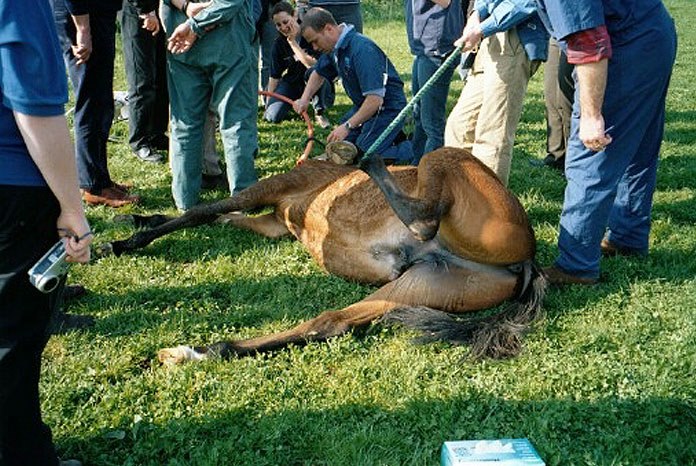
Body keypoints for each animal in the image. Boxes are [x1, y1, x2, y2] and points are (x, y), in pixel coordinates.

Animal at [106, 148, 548, 364]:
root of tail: (527, 261)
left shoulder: (269, 189)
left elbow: (204, 211)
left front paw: (128, 240)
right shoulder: (274, 224)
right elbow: (224, 218)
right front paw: (138, 220)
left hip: (449, 162)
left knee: (424, 218)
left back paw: (372, 163)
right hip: (424, 283)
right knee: (331, 322)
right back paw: (197, 353)